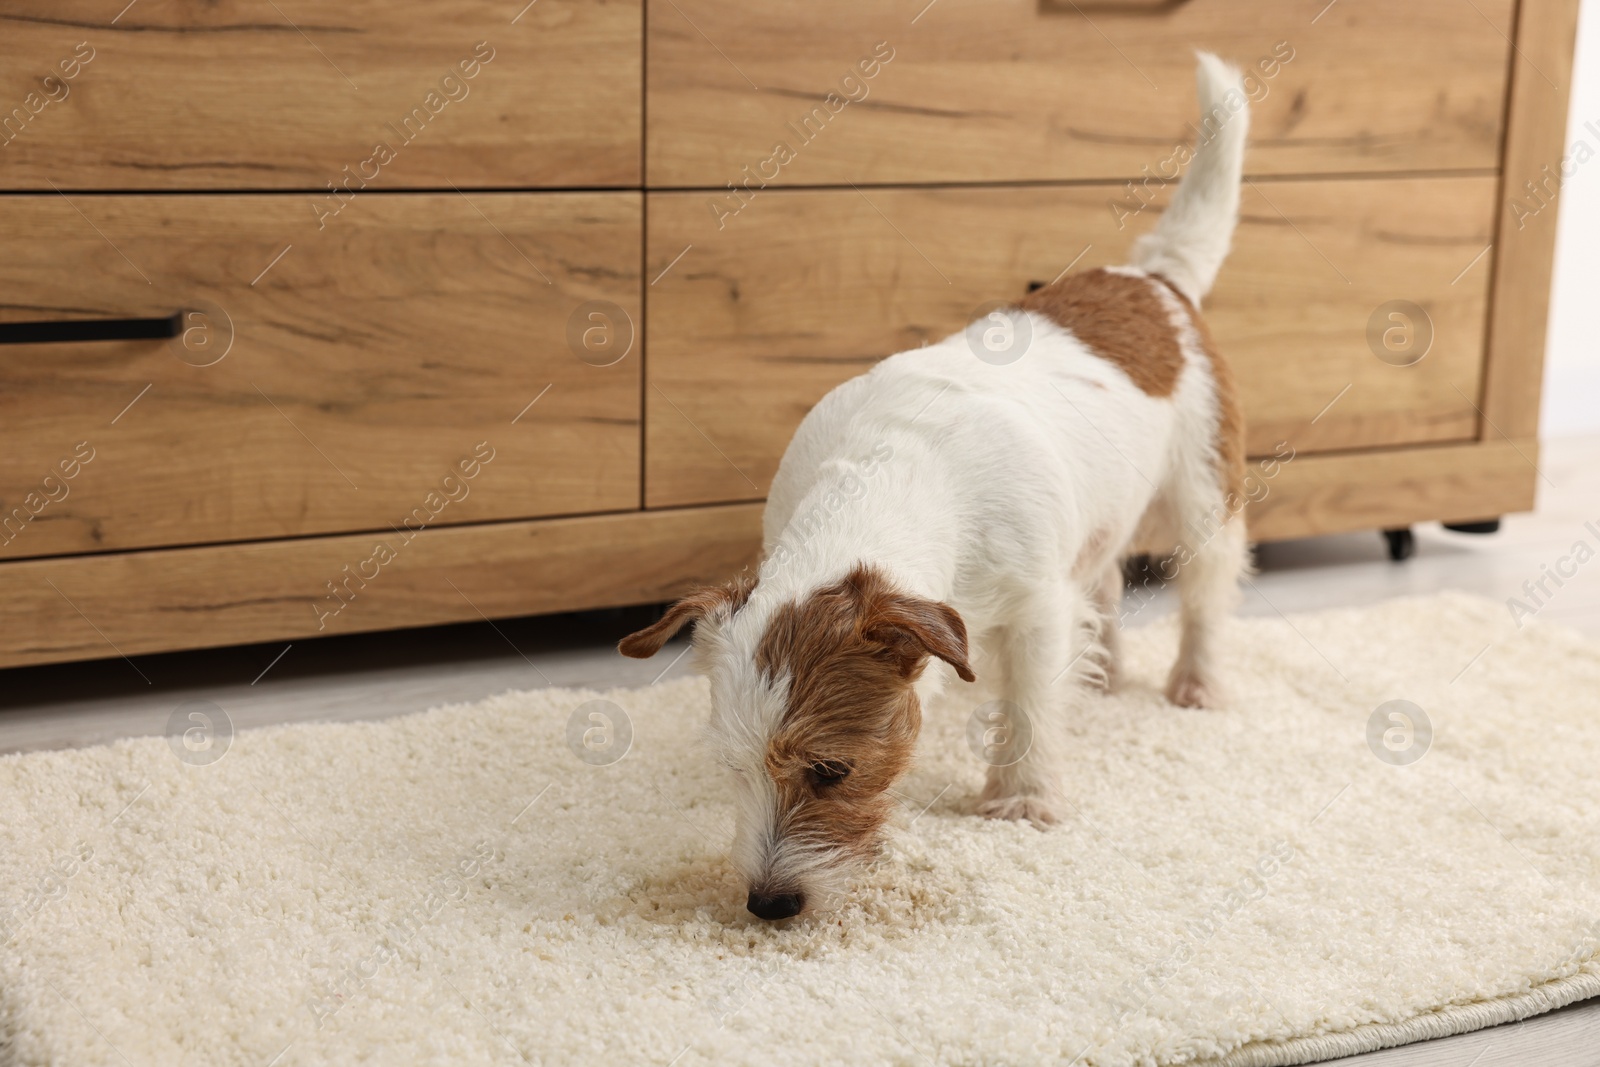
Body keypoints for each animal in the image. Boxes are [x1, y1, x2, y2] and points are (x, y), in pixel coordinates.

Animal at [617, 54, 1254, 921]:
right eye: (731, 767)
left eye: (832, 769)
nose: (768, 904)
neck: (891, 465)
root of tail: (1152, 278)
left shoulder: (1035, 606)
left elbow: (1030, 700)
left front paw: (1023, 798)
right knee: (1107, 577)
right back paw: (1105, 671)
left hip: (1202, 491)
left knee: (1205, 584)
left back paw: (1198, 680)